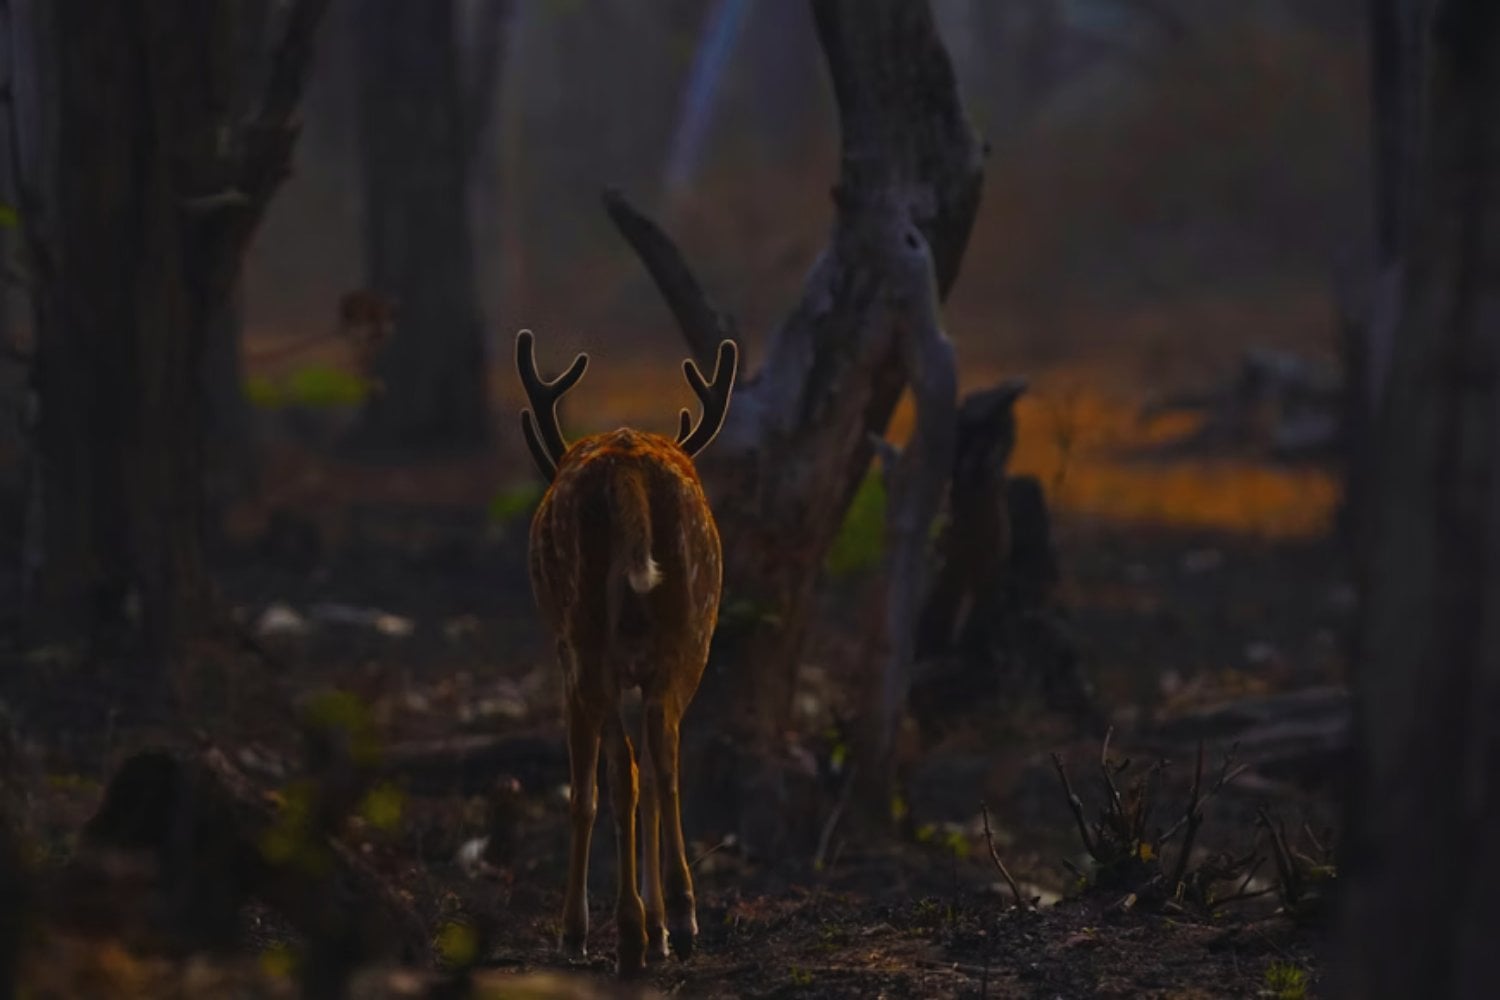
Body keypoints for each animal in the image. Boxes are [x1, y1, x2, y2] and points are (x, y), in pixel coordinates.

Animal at [515, 328, 737, 978]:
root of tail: (628, 472)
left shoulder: (566, 664)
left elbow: (582, 793)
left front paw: (574, 932)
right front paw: (663, 925)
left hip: (588, 638)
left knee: (621, 774)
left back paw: (631, 935)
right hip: (687, 631)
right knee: (663, 760)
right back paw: (678, 921)